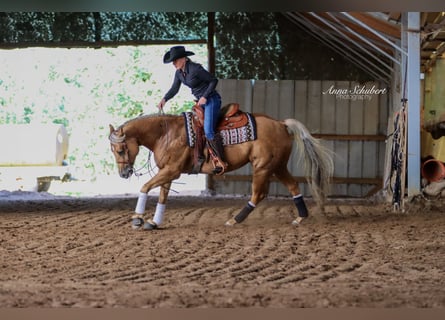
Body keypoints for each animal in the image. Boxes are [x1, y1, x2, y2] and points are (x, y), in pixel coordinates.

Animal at [108, 107, 332, 230]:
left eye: (120, 150)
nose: (124, 173)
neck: (166, 134)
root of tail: (280, 123)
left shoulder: (172, 170)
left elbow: (145, 187)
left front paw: (137, 219)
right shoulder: (168, 172)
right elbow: (163, 196)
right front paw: (154, 223)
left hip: (263, 167)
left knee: (258, 194)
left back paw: (234, 220)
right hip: (278, 166)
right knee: (294, 186)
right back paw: (300, 218)